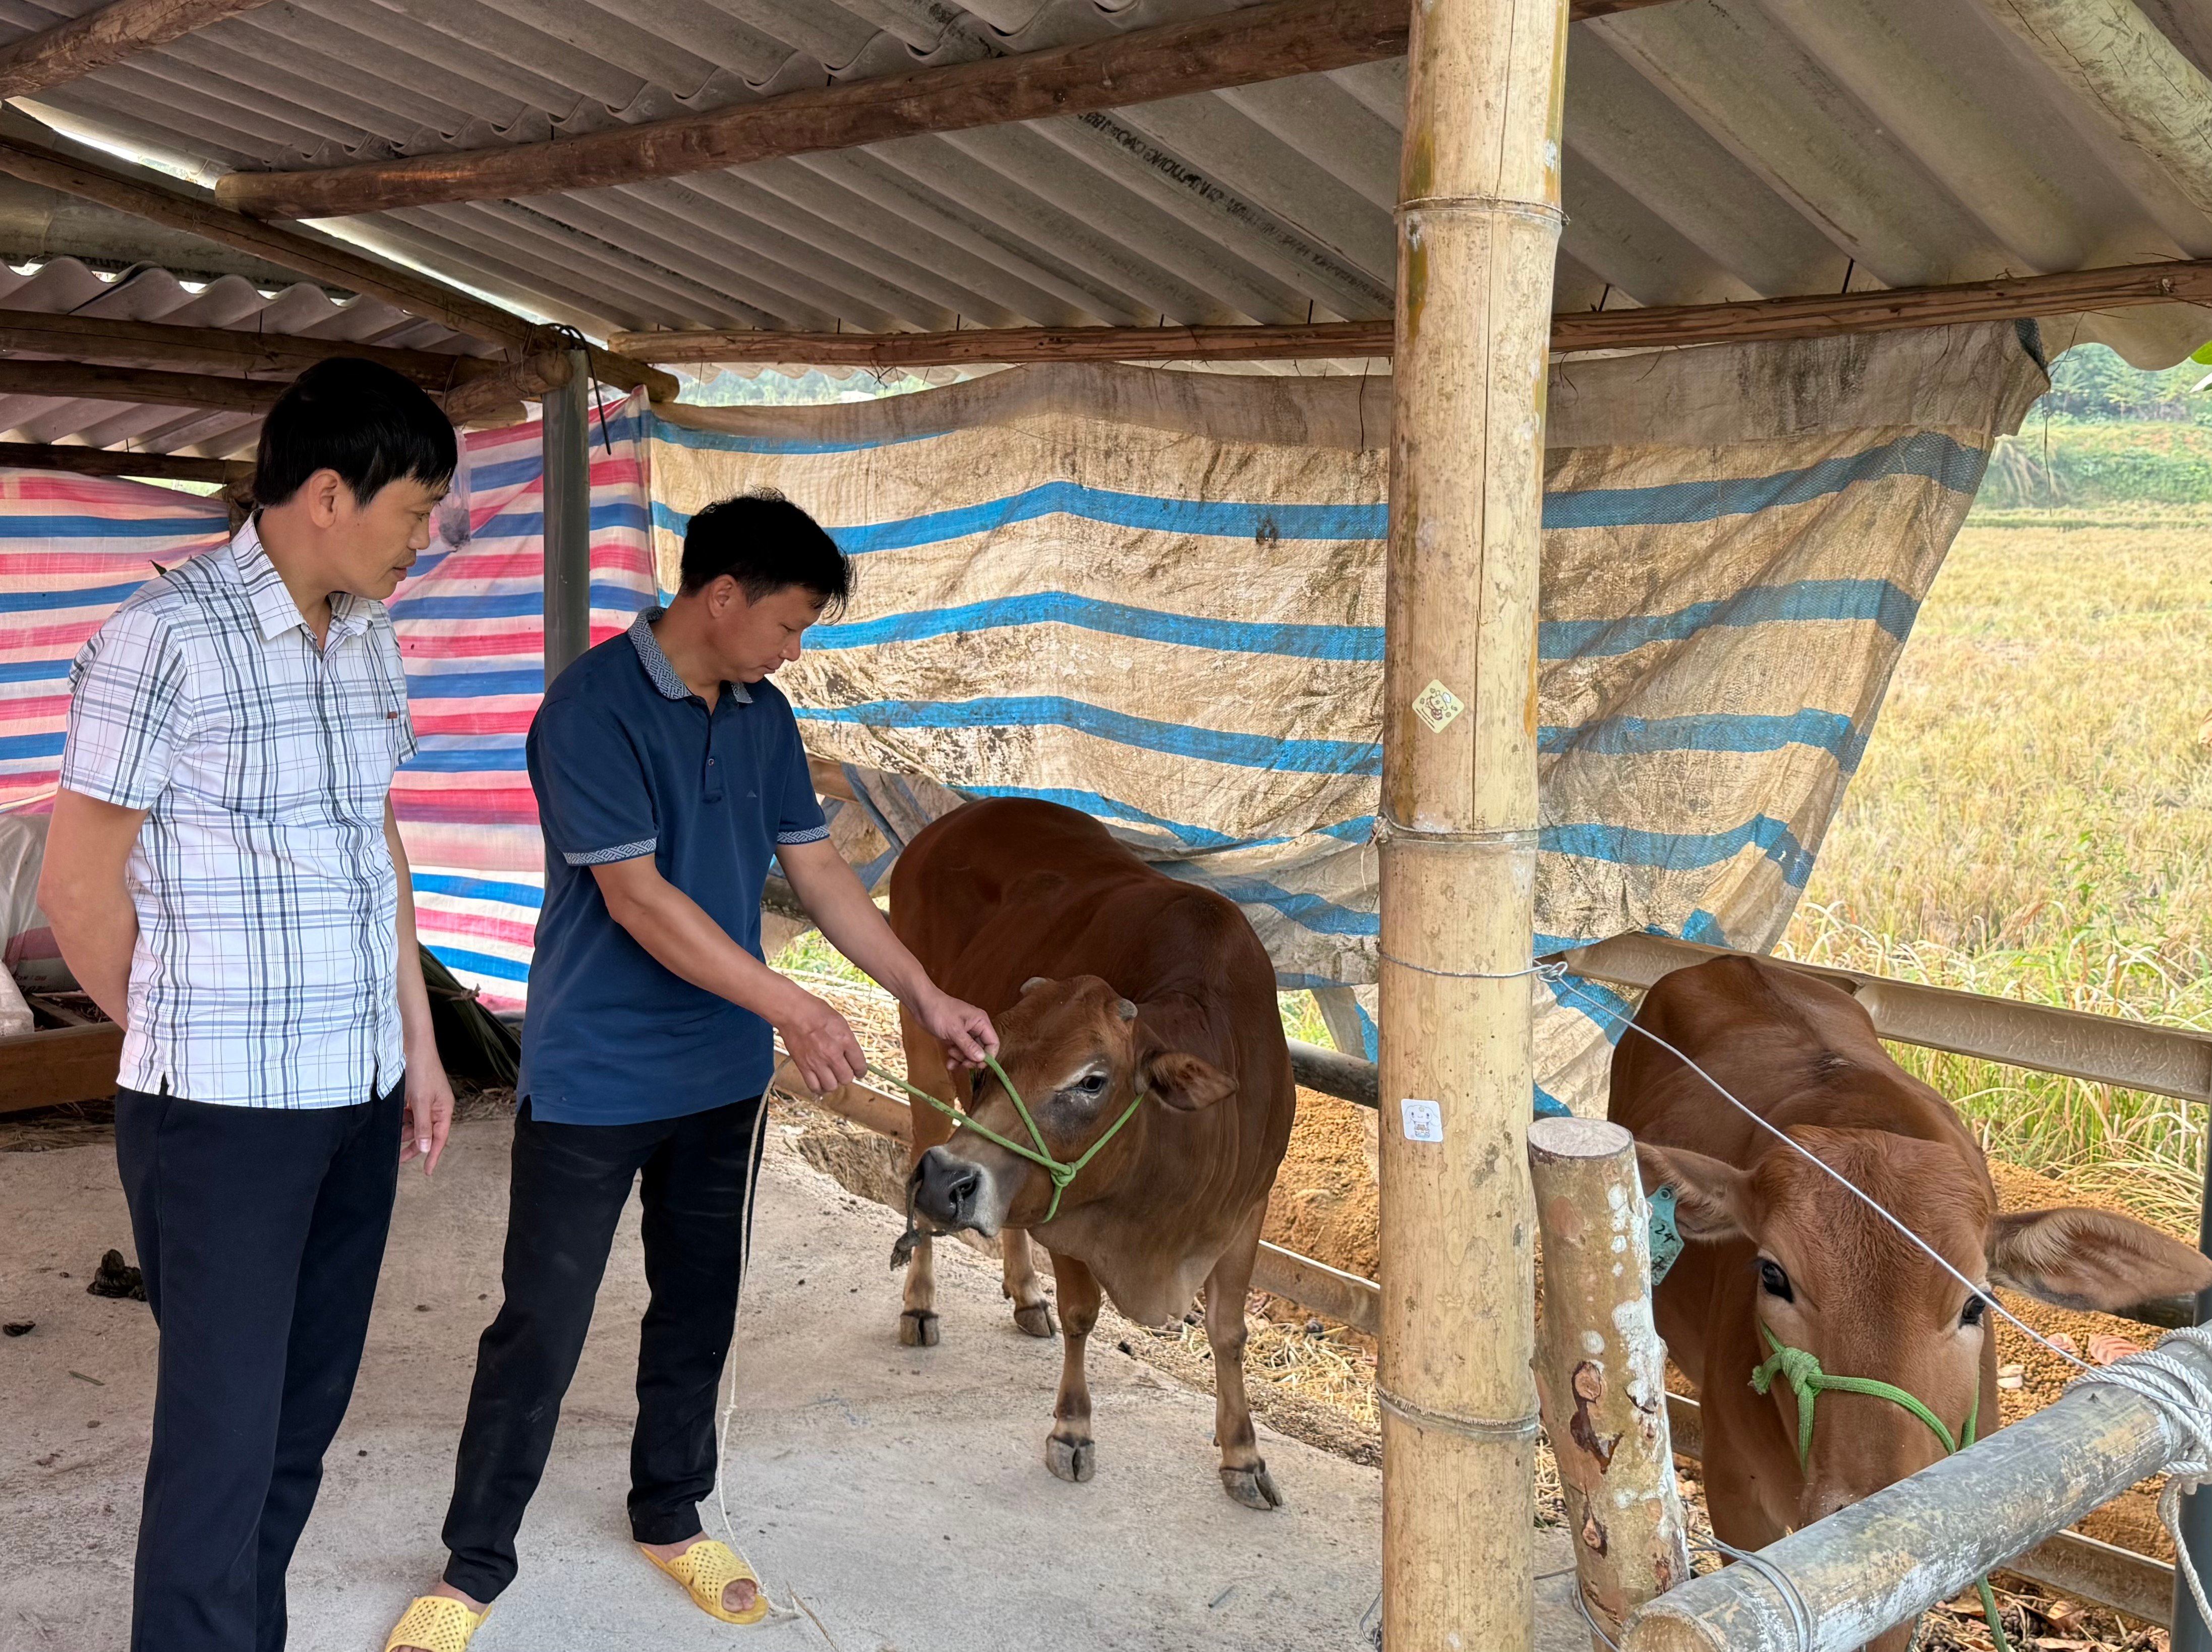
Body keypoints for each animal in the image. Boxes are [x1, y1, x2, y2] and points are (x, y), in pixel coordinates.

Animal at [880, 800, 1292, 1512]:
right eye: (986, 1060)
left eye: (1092, 1081)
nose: (946, 1180)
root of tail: (954, 820)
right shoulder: (1071, 1213)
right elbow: (1081, 1315)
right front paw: (1072, 1431)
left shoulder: (1248, 1208)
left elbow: (1229, 1331)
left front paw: (1243, 1454)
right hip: (921, 1050)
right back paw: (922, 1304)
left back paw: (1024, 1294)